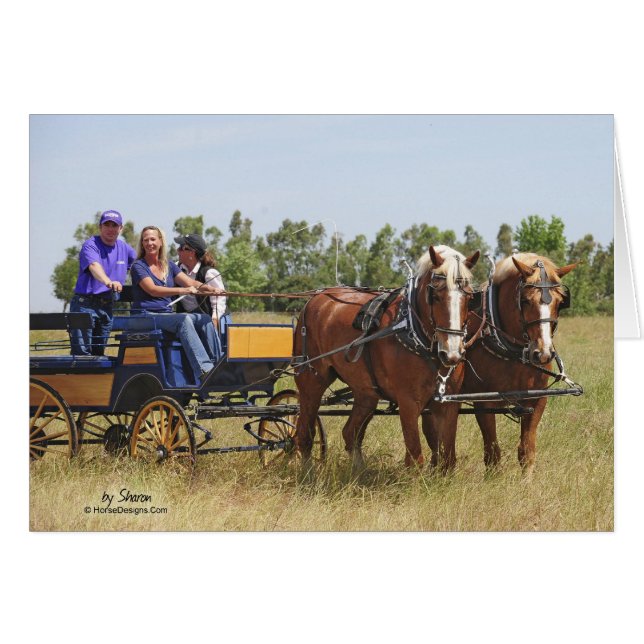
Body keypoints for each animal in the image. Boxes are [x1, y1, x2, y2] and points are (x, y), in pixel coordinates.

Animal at [292, 245, 480, 470]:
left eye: (469, 298)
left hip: (365, 392)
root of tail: (316, 298)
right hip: (311, 381)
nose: (451, 353)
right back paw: (307, 471)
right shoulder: (408, 402)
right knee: (305, 433)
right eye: (435, 296)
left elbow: (448, 457)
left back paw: (360, 472)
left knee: (351, 432)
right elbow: (415, 457)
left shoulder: (449, 402)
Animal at [422, 253, 576, 474]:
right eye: (525, 300)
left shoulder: (537, 400)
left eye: (560, 302)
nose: (543, 353)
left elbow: (527, 450)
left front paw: (526, 480)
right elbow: (492, 452)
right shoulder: (484, 402)